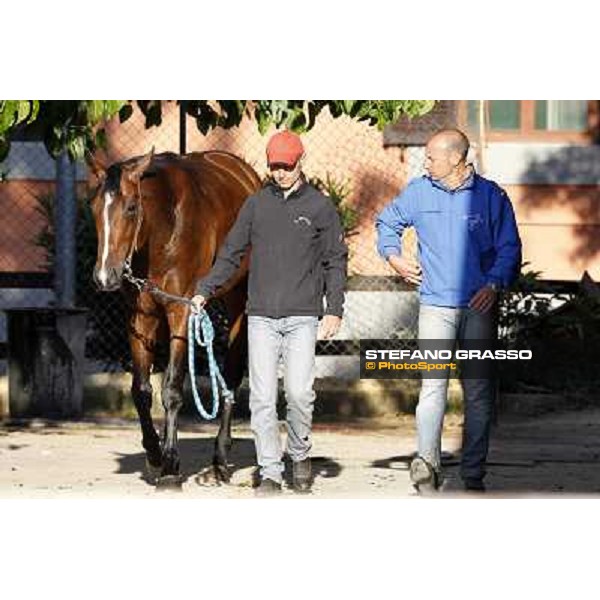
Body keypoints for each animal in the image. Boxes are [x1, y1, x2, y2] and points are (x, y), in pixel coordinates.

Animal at [88, 149, 262, 488]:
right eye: (93, 208)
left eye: (131, 208)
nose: (104, 277)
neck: (164, 227)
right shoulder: (140, 317)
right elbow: (142, 391)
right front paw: (155, 454)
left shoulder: (181, 311)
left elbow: (171, 388)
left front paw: (170, 466)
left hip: (239, 300)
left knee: (232, 373)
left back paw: (219, 461)